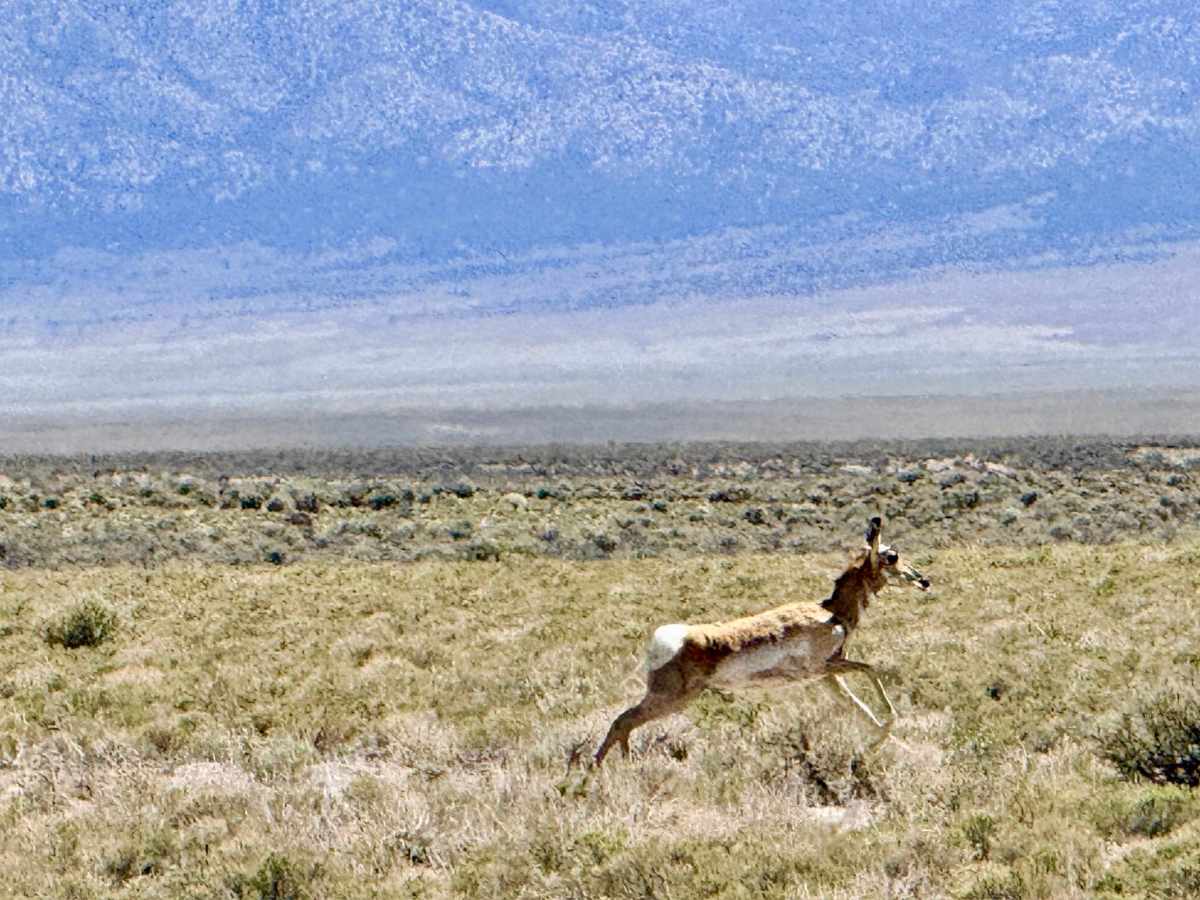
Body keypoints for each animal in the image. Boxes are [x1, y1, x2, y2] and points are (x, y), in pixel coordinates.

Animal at [594, 516, 930, 766]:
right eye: (892, 556)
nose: (924, 580)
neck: (831, 612)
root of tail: (666, 637)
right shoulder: (828, 666)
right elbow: (872, 671)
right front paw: (884, 733)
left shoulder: (827, 677)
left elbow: (863, 712)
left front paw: (887, 747)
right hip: (672, 698)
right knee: (623, 721)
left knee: (624, 721)